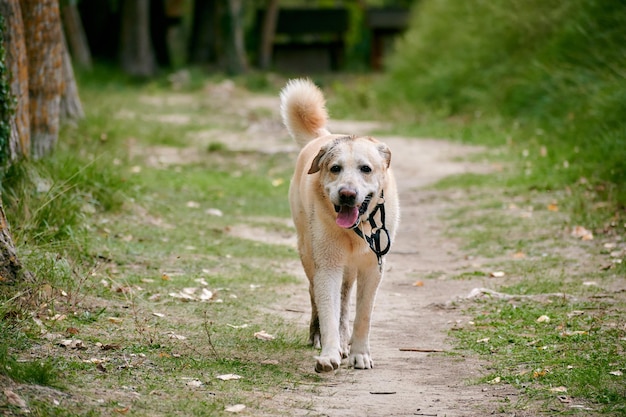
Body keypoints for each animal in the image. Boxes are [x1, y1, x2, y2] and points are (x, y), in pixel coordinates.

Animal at [280, 79, 398, 372]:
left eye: (366, 169)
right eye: (335, 168)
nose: (347, 194)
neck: (356, 230)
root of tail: (323, 136)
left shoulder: (373, 267)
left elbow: (363, 315)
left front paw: (359, 354)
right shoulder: (328, 265)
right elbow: (328, 311)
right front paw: (329, 353)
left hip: (350, 268)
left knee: (345, 303)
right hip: (308, 252)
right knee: (315, 295)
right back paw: (319, 336)